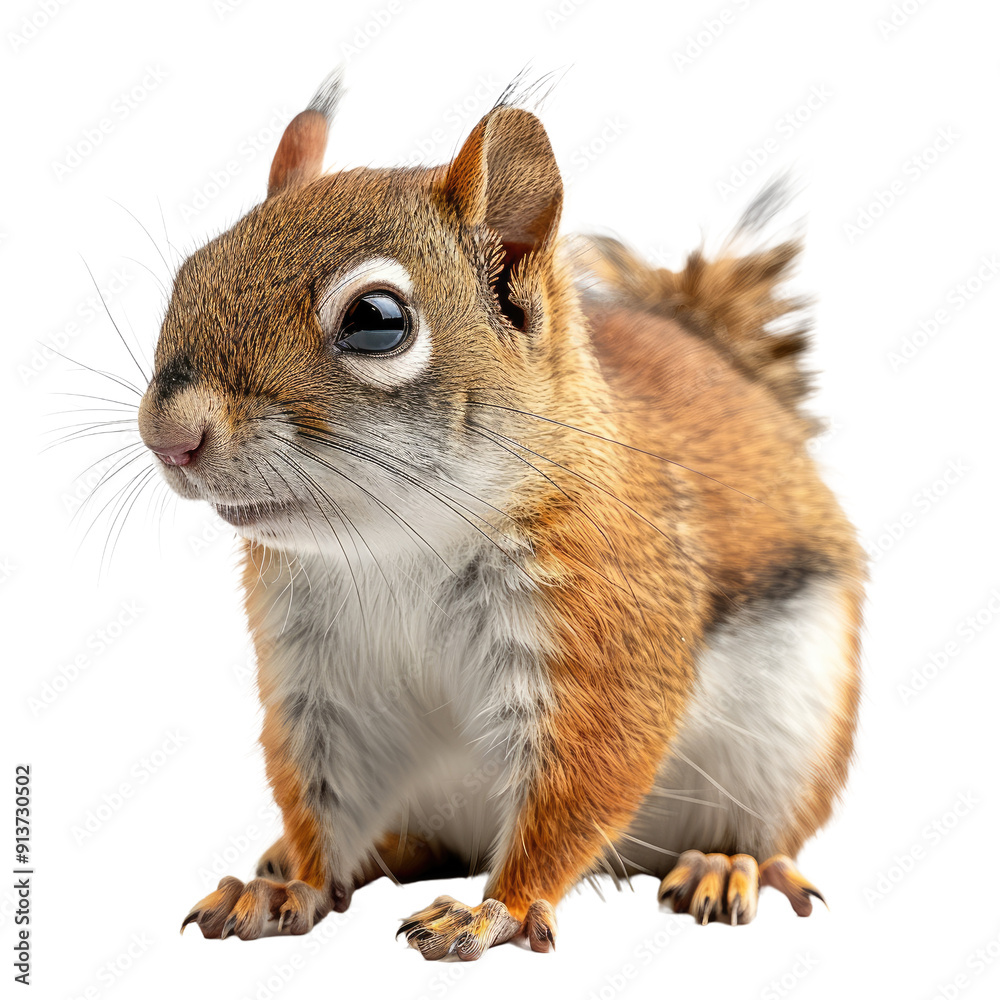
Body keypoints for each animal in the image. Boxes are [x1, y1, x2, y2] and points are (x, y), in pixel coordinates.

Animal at [137, 70, 866, 959]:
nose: (170, 435)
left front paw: (499, 910)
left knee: (765, 832)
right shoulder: (319, 681)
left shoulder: (604, 636)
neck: (396, 546)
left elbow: (578, 788)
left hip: (791, 735)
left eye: (377, 320)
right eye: (189, 275)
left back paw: (732, 865)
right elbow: (322, 796)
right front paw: (292, 886)